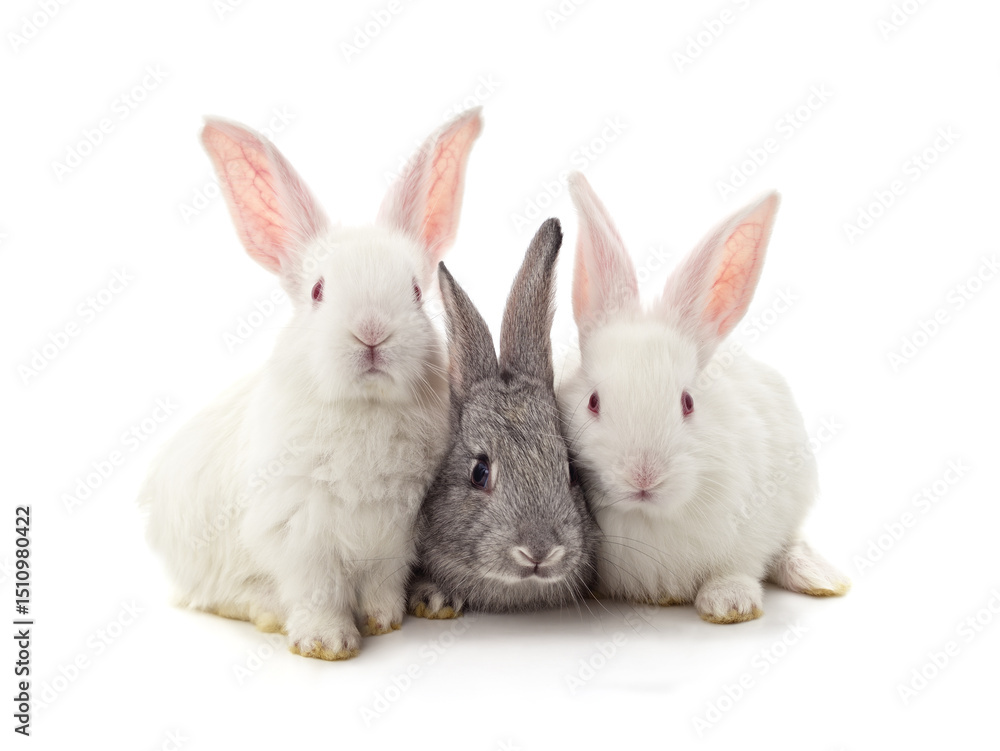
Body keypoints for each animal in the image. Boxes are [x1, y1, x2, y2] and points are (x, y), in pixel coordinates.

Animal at [138, 108, 483, 659]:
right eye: (319, 290)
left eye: (414, 291)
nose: (371, 332)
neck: (365, 409)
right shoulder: (299, 535)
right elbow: (316, 589)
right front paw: (328, 643)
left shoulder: (395, 534)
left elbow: (382, 586)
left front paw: (384, 620)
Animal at [556, 172, 850, 624]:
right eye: (593, 402)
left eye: (687, 402)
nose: (643, 476)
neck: (650, 516)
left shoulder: (754, 525)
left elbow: (739, 566)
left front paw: (730, 603)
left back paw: (818, 577)